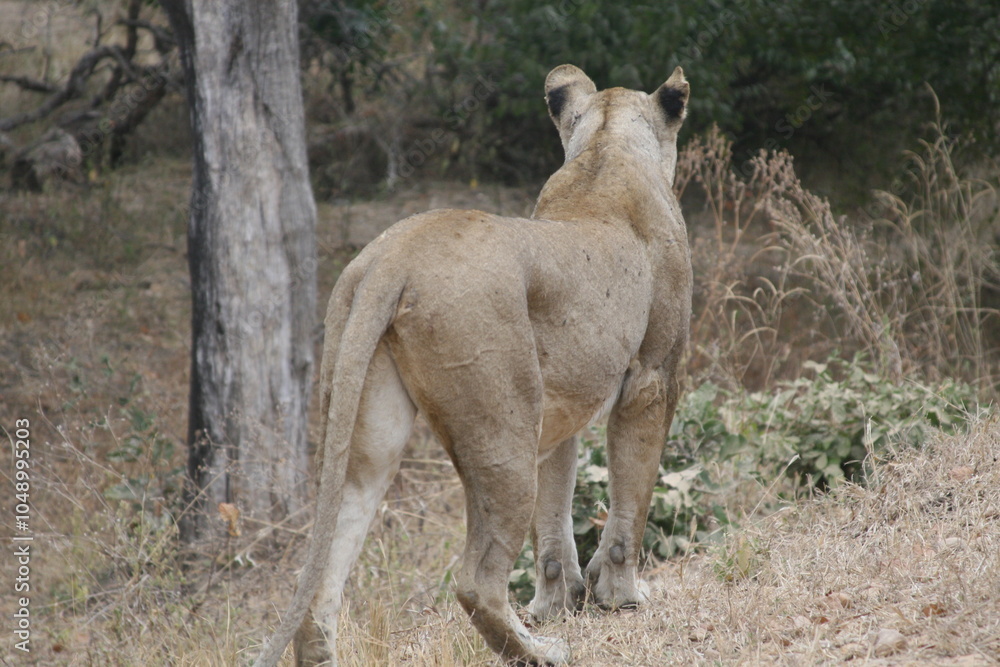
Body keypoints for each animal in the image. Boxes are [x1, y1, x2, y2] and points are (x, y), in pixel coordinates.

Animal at [253, 64, 692, 666]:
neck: (604, 150)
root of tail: (394, 255)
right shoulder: (653, 380)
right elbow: (631, 502)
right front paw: (621, 597)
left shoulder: (563, 408)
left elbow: (555, 519)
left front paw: (560, 602)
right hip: (502, 434)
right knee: (475, 580)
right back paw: (542, 652)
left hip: (370, 435)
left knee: (322, 574)